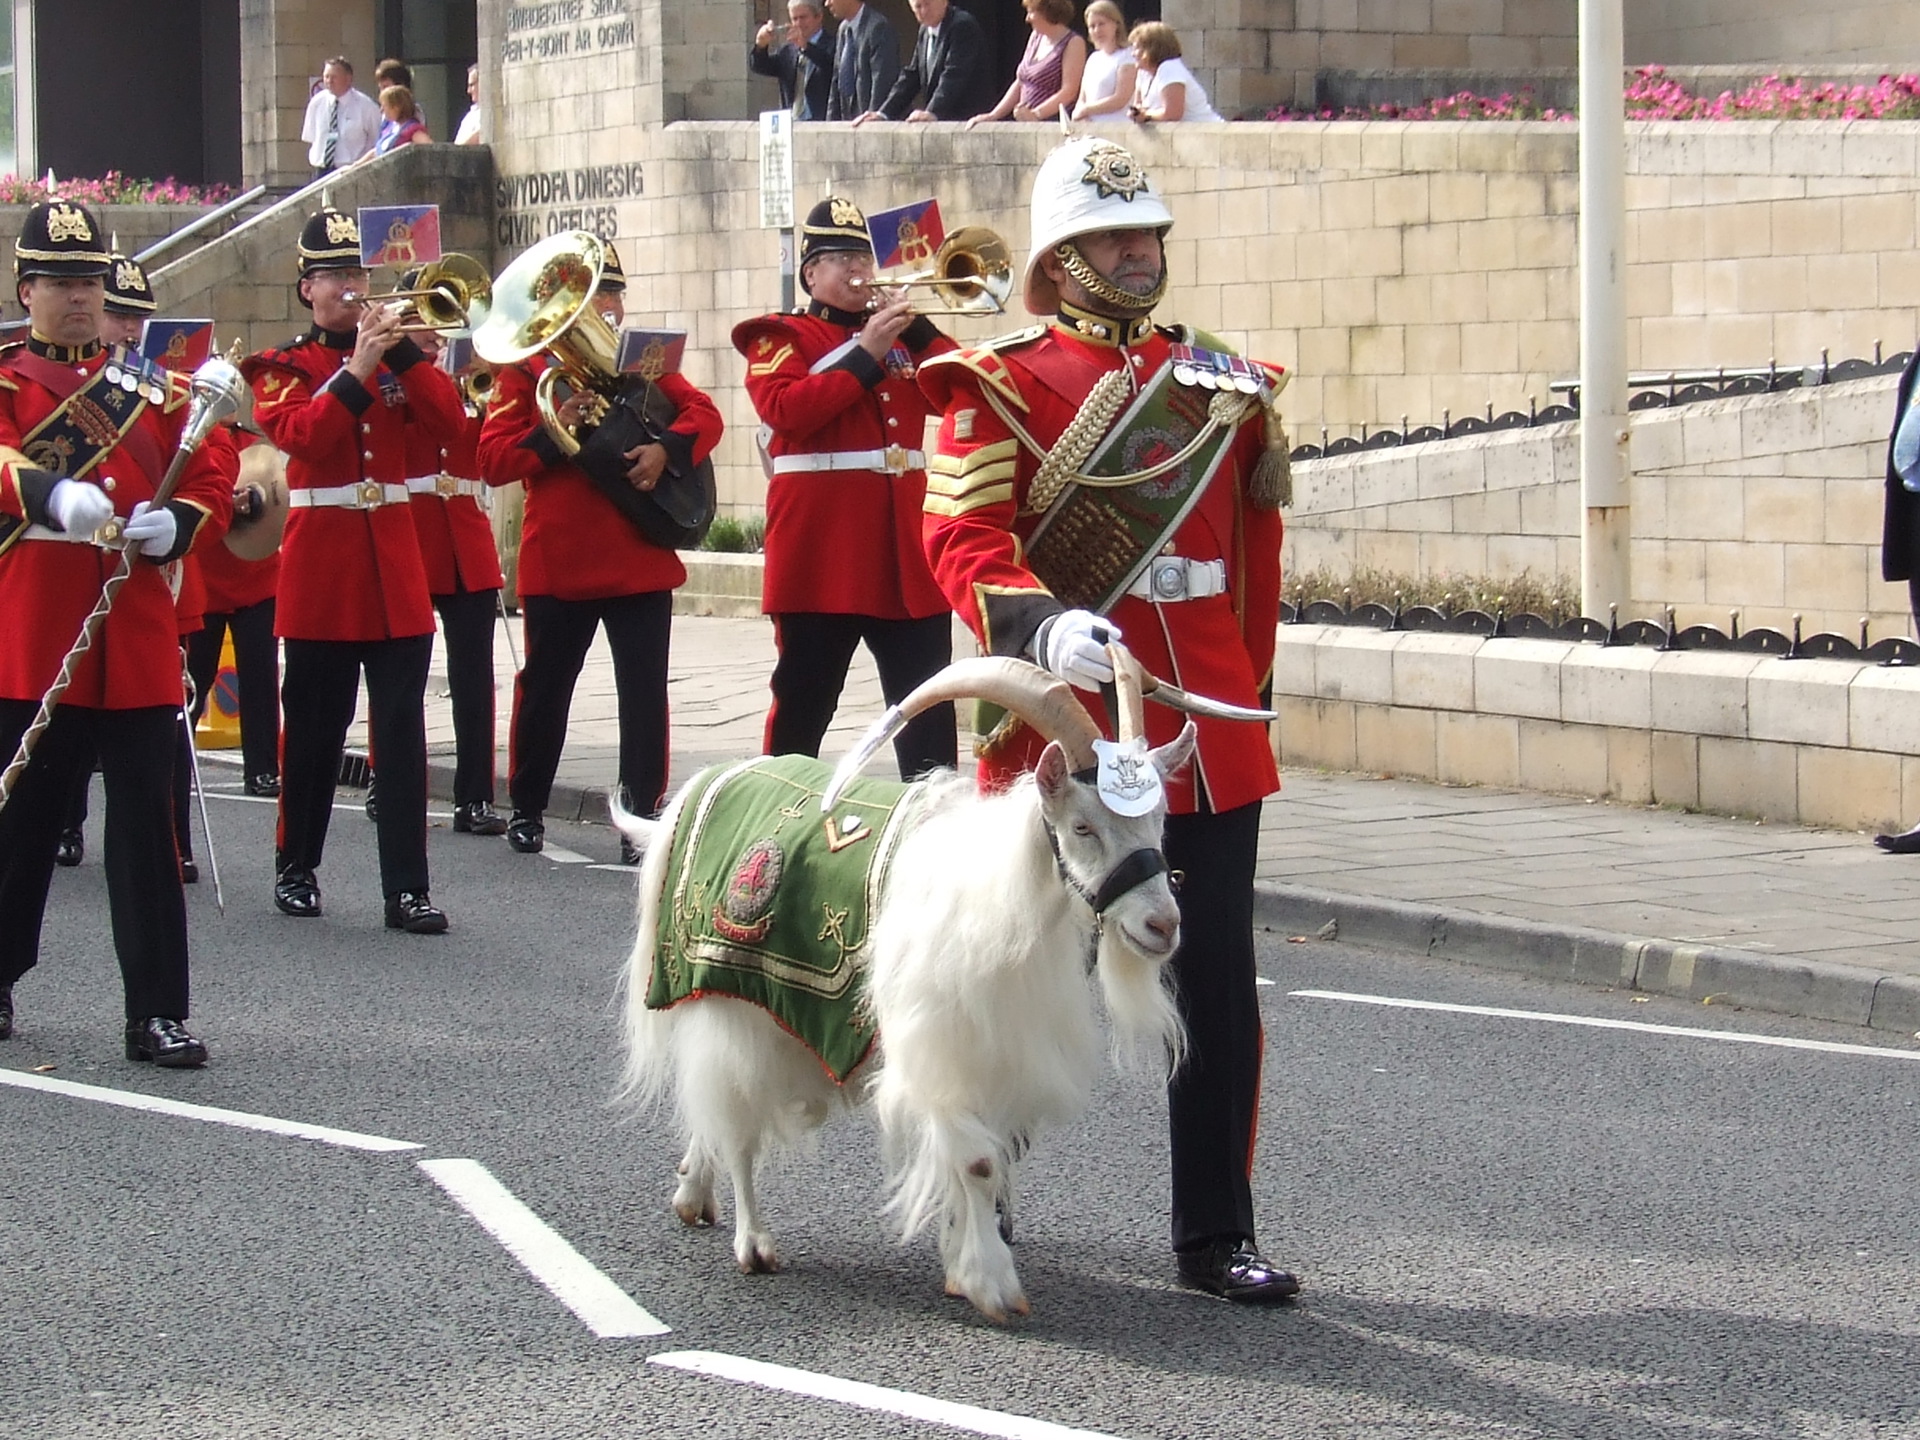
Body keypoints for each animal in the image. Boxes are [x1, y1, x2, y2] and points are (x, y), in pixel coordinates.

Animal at [614, 660, 1190, 1328]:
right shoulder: (936, 1051)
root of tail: (704, 783)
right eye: (1082, 827)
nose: (1163, 925)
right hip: (732, 1001)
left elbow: (987, 1163)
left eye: (1159, 823)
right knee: (736, 1117)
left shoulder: (991, 1059)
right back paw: (753, 1243)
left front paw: (961, 1265)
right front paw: (992, 1283)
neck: (995, 897)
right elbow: (977, 1164)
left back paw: (692, 1190)